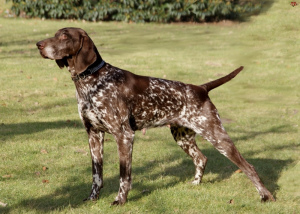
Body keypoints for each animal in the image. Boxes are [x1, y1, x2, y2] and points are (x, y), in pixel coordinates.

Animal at [35, 27, 274, 205]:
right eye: (55, 34)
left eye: (64, 36)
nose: (38, 44)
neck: (92, 81)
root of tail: (200, 88)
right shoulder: (93, 134)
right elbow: (97, 174)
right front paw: (92, 199)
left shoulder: (124, 136)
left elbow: (124, 176)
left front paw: (120, 200)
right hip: (182, 136)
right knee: (201, 158)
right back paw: (196, 184)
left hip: (216, 135)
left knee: (248, 167)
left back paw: (266, 196)